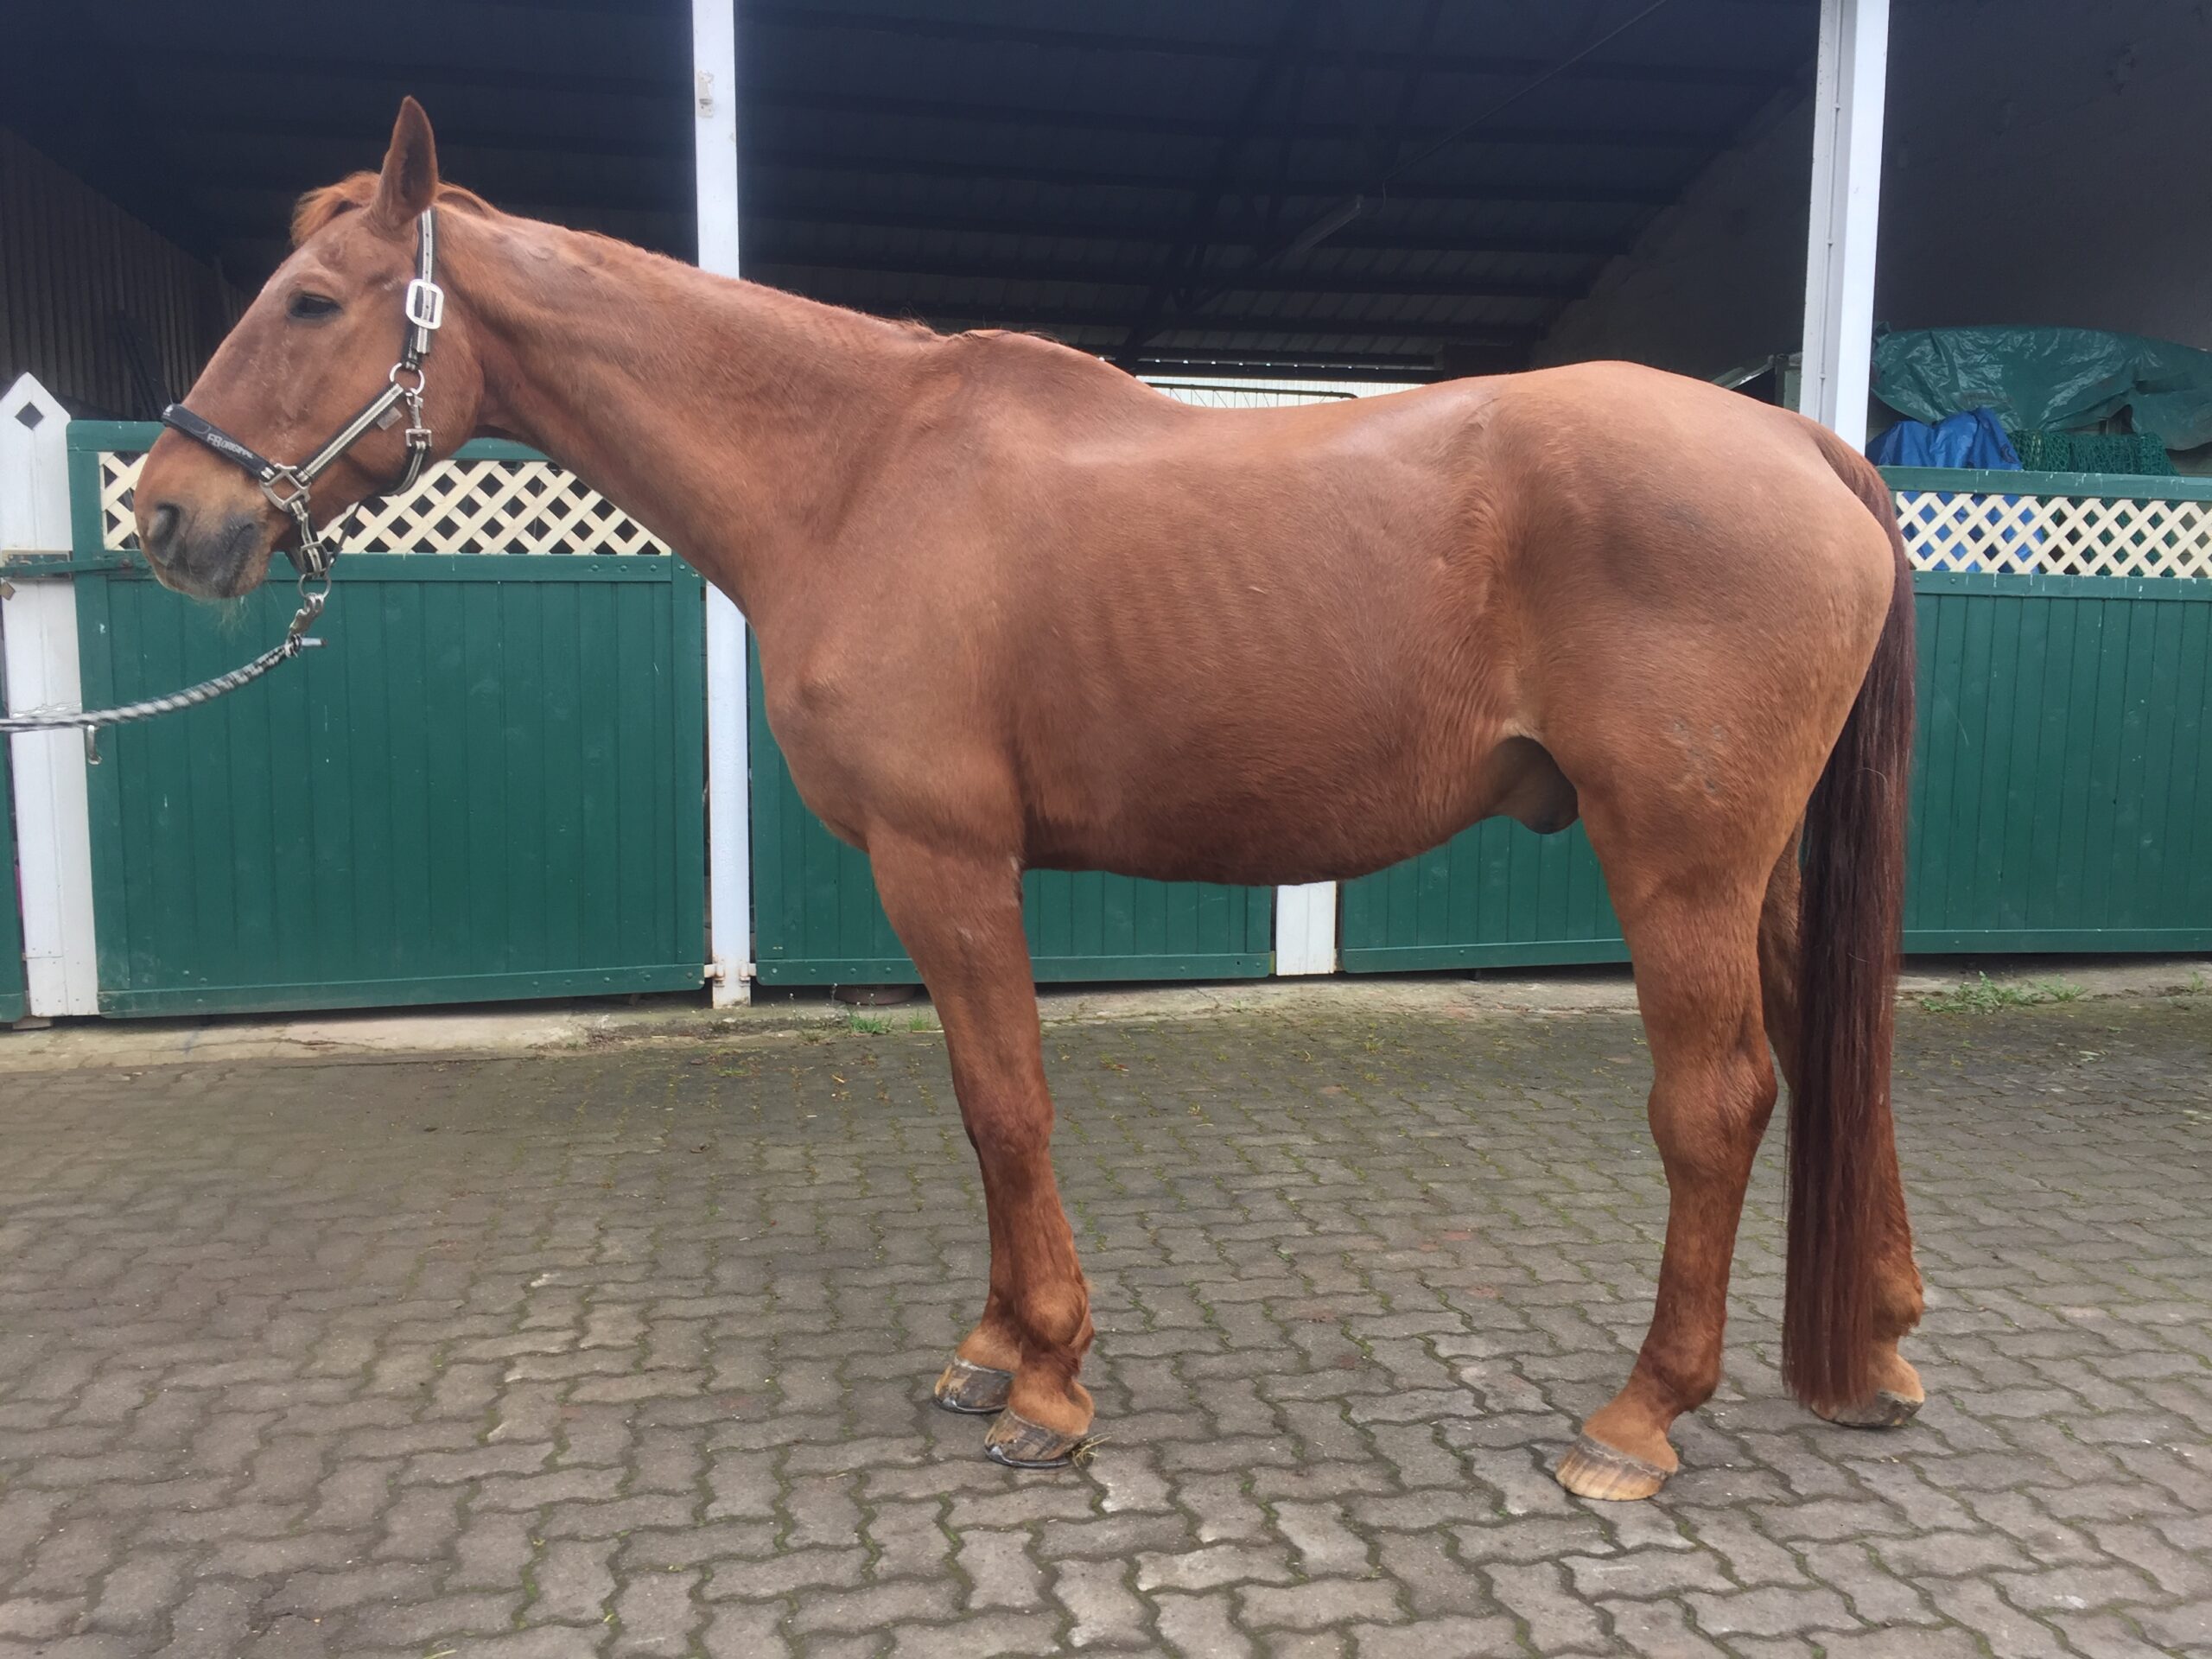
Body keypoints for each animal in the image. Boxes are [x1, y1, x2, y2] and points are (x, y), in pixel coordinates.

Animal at [132, 99, 1924, 1500]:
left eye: (310, 302)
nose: (165, 512)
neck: (856, 473)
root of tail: (1806, 447)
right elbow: (974, 1106)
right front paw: (992, 1348)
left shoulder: (947, 861)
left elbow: (1008, 1106)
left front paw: (1049, 1383)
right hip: (1761, 872)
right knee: (1841, 1058)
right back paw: (1882, 1348)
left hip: (1679, 868)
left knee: (1718, 1103)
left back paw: (1638, 1420)